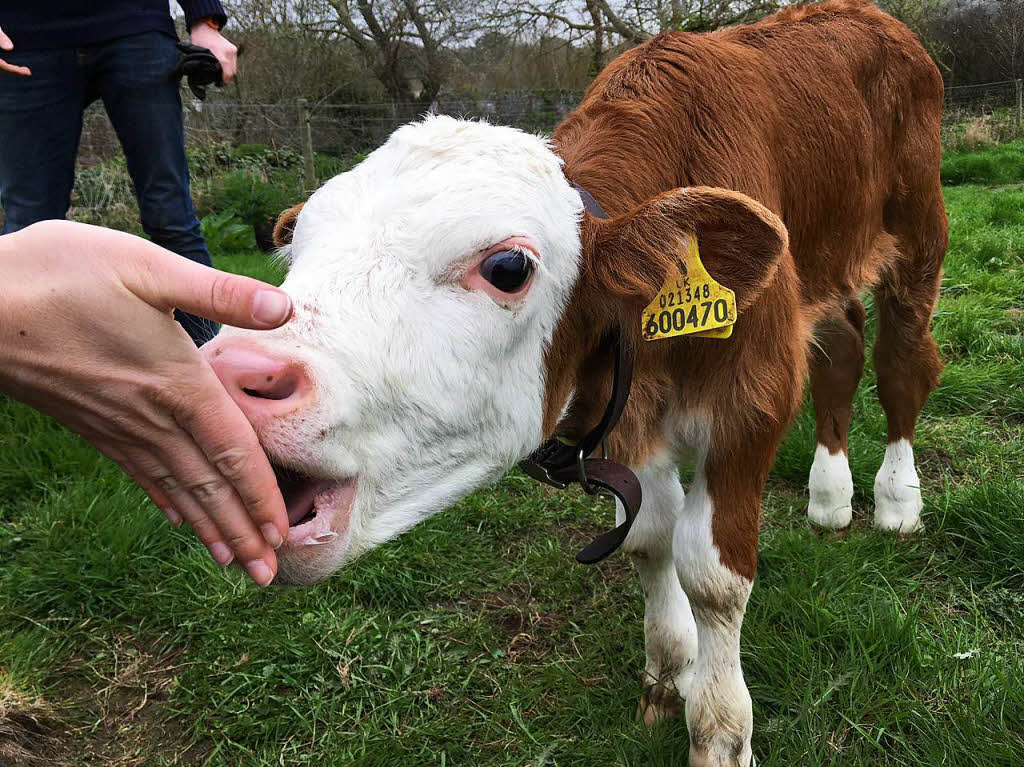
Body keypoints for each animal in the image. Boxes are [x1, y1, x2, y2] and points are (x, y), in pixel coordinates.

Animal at [199, 1, 942, 761]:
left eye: (507, 268)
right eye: (295, 250)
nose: (232, 374)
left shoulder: (754, 399)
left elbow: (711, 576)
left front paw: (721, 732)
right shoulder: (626, 410)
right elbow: (648, 537)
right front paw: (667, 675)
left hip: (919, 229)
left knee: (901, 365)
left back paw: (895, 500)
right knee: (842, 344)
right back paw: (829, 496)